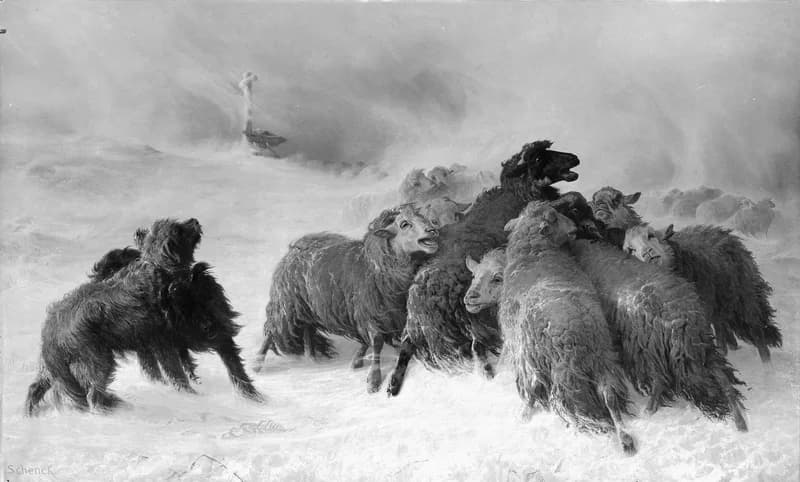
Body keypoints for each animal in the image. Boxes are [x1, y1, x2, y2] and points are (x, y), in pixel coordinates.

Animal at [254, 204, 439, 393]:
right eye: (404, 224)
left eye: (422, 217)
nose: (432, 230)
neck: (377, 267)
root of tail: (294, 247)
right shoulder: (368, 311)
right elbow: (376, 342)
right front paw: (373, 380)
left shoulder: (385, 314)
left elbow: (375, 341)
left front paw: (359, 361)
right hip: (286, 303)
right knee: (271, 330)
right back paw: (257, 364)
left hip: (308, 307)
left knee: (307, 330)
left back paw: (311, 358)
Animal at [387, 140, 580, 396]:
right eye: (539, 158)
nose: (575, 158)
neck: (516, 192)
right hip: (468, 316)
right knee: (477, 346)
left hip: (415, 326)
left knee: (407, 345)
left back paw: (393, 383)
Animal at [500, 202, 636, 454]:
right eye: (555, 218)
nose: (574, 228)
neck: (534, 252)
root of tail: (574, 341)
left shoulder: (523, 355)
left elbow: (531, 390)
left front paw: (525, 413)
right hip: (601, 359)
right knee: (608, 397)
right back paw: (625, 439)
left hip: (562, 367)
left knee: (562, 401)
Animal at [568, 238, 748, 431]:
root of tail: (679, 322)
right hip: (700, 344)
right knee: (720, 374)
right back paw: (739, 417)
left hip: (649, 348)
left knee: (659, 381)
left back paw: (649, 408)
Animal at [623, 223, 781, 362]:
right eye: (630, 250)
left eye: (650, 235)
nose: (647, 253)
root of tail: (724, 233)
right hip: (721, 303)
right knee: (723, 327)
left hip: (744, 297)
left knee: (756, 331)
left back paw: (766, 363)